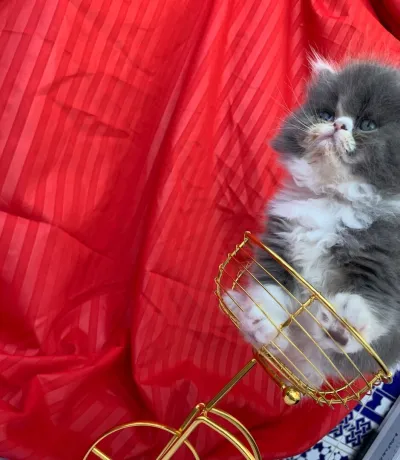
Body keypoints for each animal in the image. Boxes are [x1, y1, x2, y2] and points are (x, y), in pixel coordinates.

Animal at [223, 57, 400, 389]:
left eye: (367, 125)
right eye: (326, 114)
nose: (337, 125)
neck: (334, 199)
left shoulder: (384, 260)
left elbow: (376, 298)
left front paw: (344, 326)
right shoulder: (280, 241)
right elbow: (271, 284)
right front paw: (262, 317)